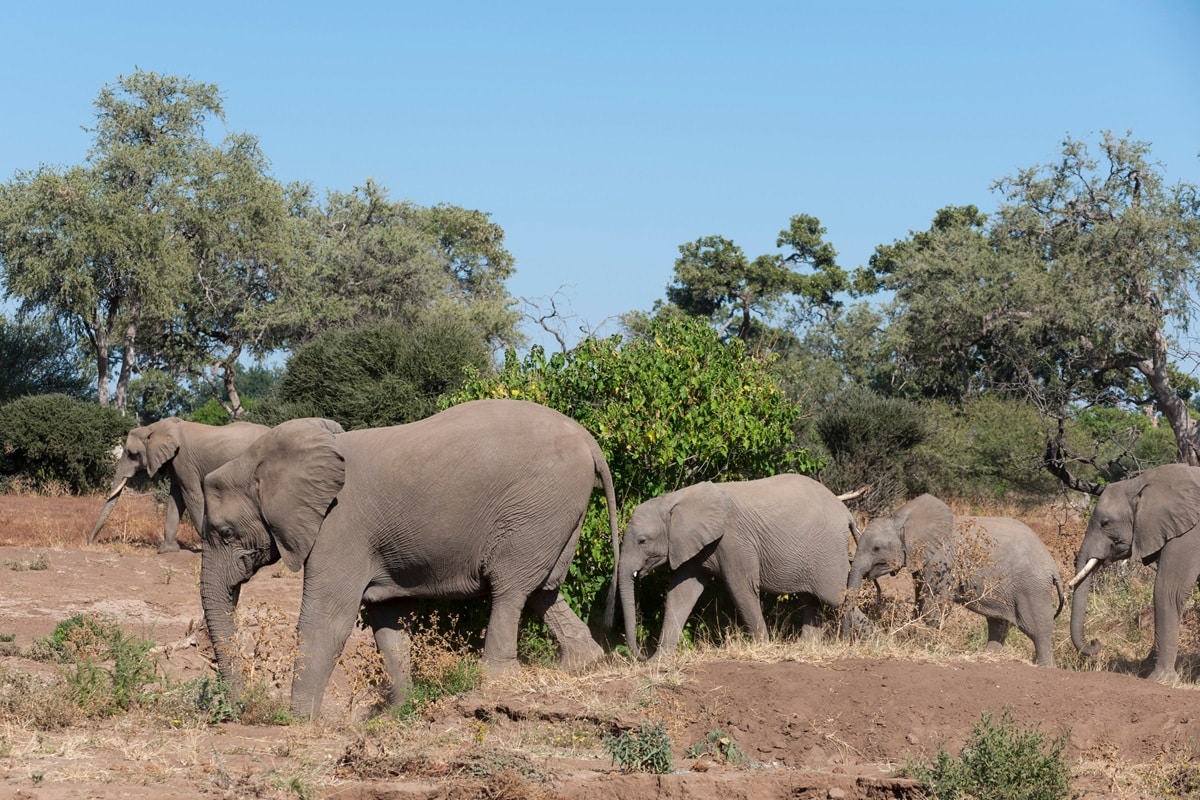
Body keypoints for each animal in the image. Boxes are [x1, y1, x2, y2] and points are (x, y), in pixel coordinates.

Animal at [87, 417, 268, 554]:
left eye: (132, 454)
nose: (89, 542)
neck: (153, 428)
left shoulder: (184, 461)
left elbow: (191, 496)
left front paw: (204, 546)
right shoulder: (174, 462)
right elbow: (176, 498)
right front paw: (166, 550)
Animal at [198, 400, 619, 719]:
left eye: (225, 533)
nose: (237, 707)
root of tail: (588, 438)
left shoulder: (340, 526)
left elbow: (326, 619)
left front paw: (299, 722)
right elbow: (389, 621)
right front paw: (400, 711)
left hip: (536, 506)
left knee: (512, 588)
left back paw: (498, 679)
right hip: (556, 511)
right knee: (544, 588)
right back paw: (583, 665)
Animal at [614, 472, 859, 662]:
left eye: (642, 541)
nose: (642, 655)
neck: (676, 499)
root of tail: (846, 512)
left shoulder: (734, 540)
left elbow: (741, 588)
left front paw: (763, 647)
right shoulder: (690, 545)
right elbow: (681, 593)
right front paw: (659, 660)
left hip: (828, 554)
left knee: (837, 598)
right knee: (812, 600)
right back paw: (806, 647)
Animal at [849, 494, 1065, 671]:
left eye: (876, 549)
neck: (903, 518)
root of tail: (1052, 566)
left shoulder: (941, 560)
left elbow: (933, 604)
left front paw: (925, 645)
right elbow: (921, 600)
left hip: (1032, 586)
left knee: (1037, 627)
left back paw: (1045, 668)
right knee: (999, 621)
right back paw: (986, 657)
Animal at [1065, 462, 1200, 681]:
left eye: (1105, 523)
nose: (1096, 641)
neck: (1139, 483)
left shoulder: (1190, 533)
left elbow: (1168, 590)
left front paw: (1160, 679)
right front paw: (1146, 668)